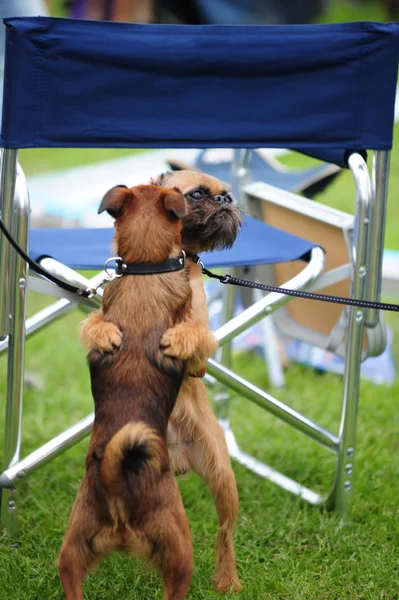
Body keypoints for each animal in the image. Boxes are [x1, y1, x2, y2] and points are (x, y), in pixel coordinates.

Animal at [80, 169, 244, 592]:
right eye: (198, 194)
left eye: (225, 194)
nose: (225, 201)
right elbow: (91, 323)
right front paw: (104, 333)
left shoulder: (203, 348)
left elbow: (195, 335)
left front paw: (177, 339)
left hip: (223, 477)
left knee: (225, 531)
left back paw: (227, 578)